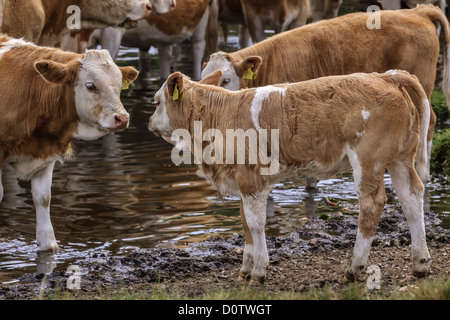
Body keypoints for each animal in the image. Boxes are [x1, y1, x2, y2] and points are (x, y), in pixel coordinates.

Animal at [0, 33, 139, 251]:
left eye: (118, 86)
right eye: (90, 85)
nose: (122, 118)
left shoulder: (46, 153)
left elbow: (43, 198)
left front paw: (49, 246)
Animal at [149, 69, 432, 282]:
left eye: (157, 101)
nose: (149, 122)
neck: (220, 115)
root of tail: (387, 76)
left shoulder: (251, 179)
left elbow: (255, 224)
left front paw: (259, 270)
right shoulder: (242, 180)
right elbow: (245, 223)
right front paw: (246, 269)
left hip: (368, 160)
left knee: (372, 204)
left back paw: (355, 267)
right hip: (400, 158)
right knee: (411, 197)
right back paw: (420, 262)